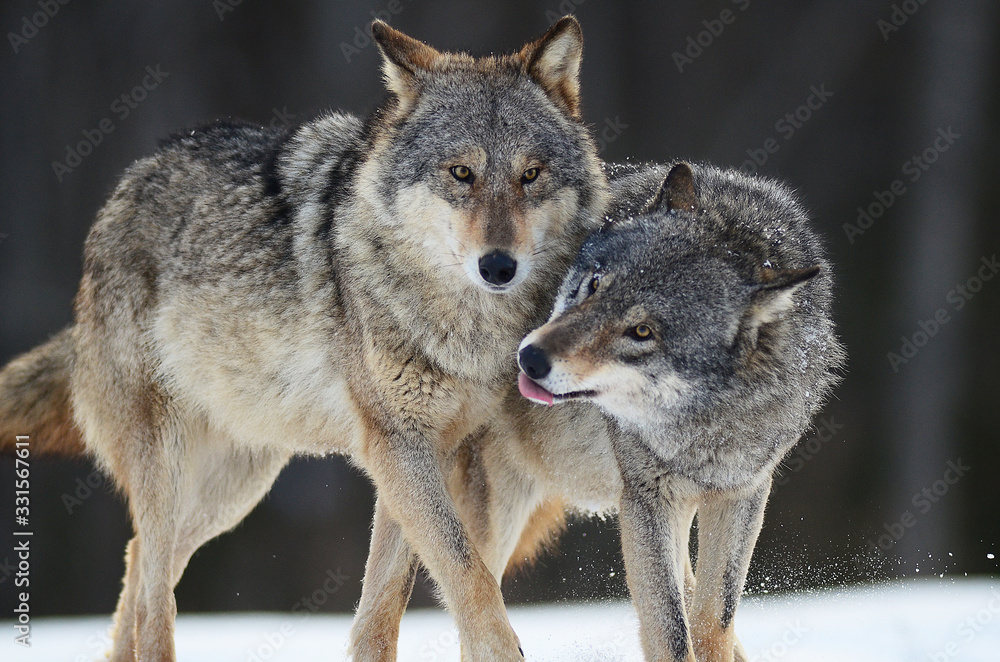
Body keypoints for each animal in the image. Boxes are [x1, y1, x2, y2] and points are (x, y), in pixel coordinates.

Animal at [0, 17, 607, 661]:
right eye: (461, 173)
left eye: (531, 174)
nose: (498, 266)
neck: (462, 325)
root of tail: (124, 188)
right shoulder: (397, 445)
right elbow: (466, 572)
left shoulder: (423, 452)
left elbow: (382, 607)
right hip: (169, 463)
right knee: (153, 594)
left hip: (234, 487)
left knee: (140, 558)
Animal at [515, 161, 845, 661]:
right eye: (594, 285)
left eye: (642, 331)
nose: (530, 357)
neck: (708, 424)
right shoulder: (646, 498)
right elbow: (671, 629)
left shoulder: (742, 492)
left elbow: (713, 618)